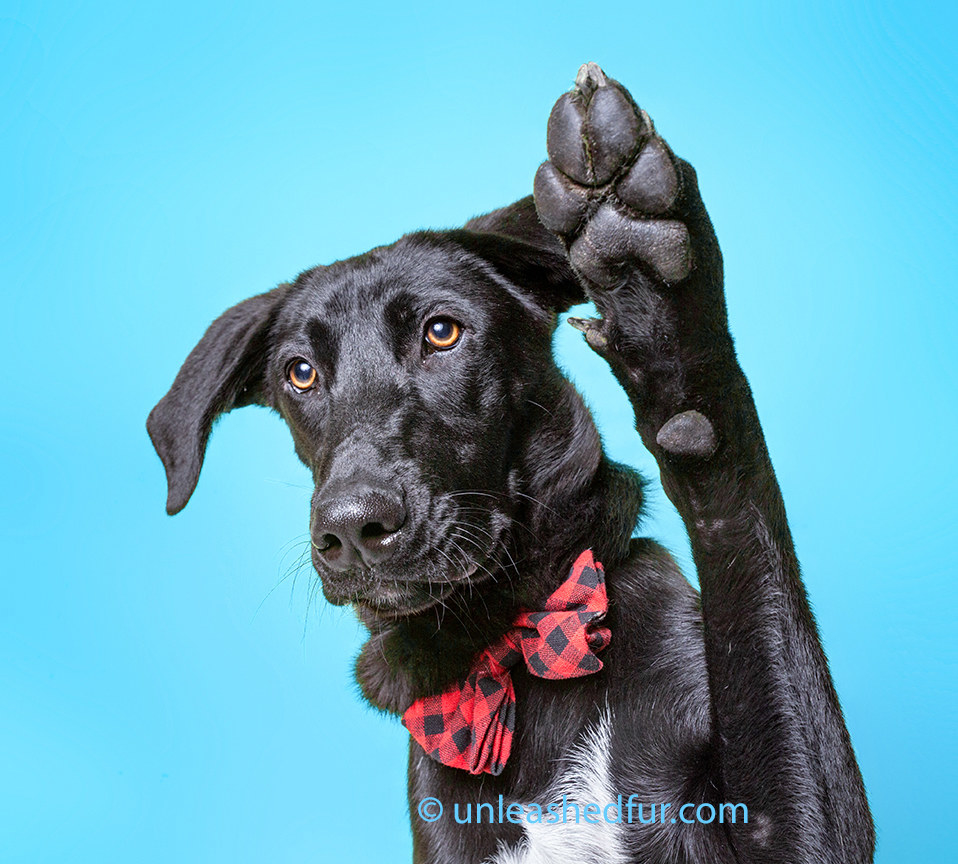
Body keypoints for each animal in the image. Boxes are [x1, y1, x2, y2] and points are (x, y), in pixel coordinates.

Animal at [148, 64, 876, 860]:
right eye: (300, 373)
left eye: (442, 332)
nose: (351, 529)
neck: (513, 648)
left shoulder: (808, 832)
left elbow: (741, 533)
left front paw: (653, 301)